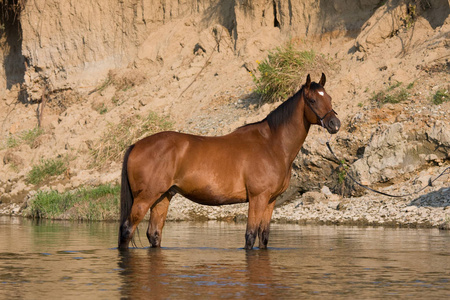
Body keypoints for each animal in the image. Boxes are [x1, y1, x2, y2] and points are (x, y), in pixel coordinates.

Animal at [118, 74, 340, 250]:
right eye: (312, 100)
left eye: (329, 98)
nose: (334, 124)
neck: (272, 145)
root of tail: (136, 145)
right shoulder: (258, 199)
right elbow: (250, 236)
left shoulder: (270, 201)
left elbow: (263, 237)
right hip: (145, 198)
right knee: (127, 230)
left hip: (162, 197)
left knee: (154, 234)